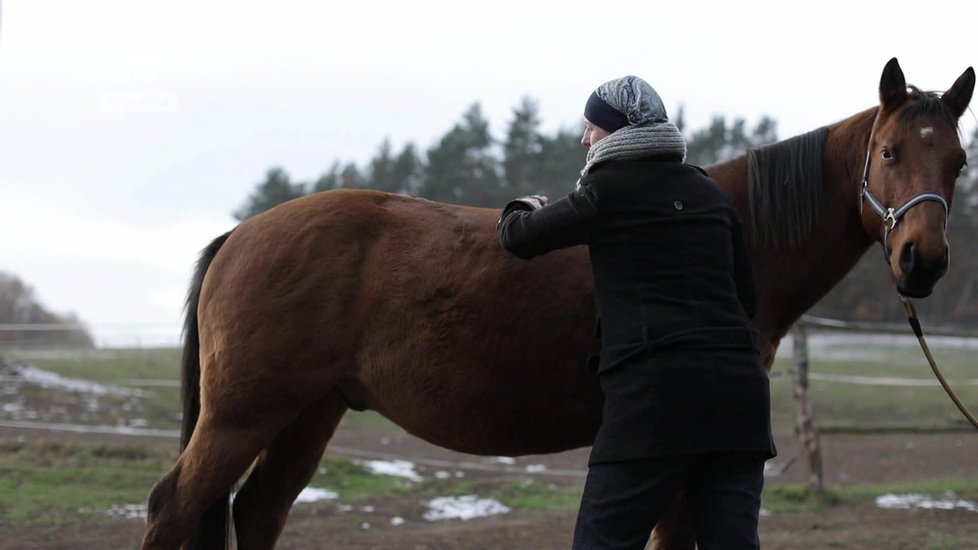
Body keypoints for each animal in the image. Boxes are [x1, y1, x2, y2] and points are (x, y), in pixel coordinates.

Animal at [141, 58, 972, 548]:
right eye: (890, 152)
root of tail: (241, 233)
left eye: (959, 160)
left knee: (258, 511)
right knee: (175, 505)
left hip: (309, 413)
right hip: (244, 414)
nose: (923, 260)